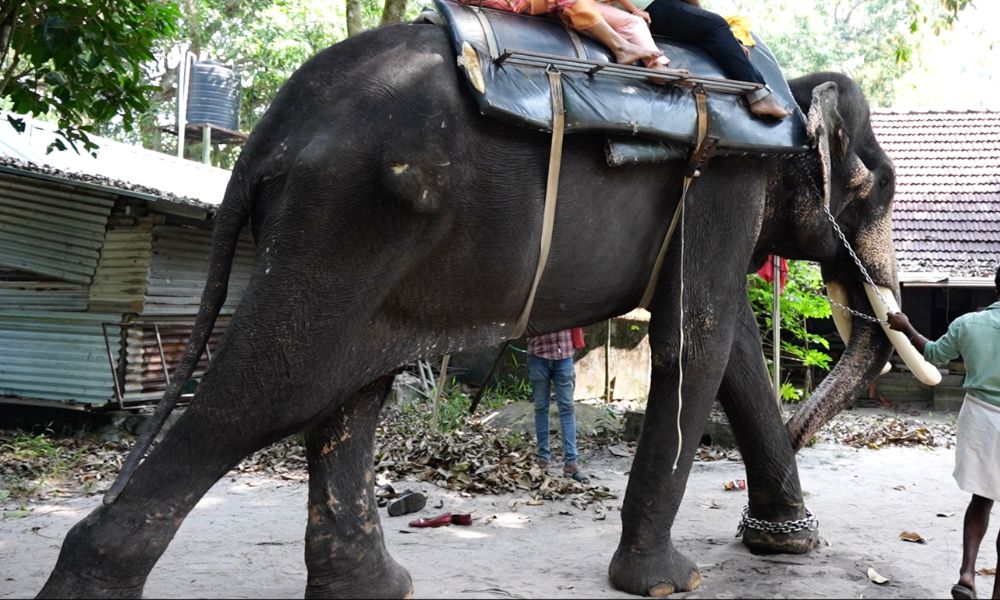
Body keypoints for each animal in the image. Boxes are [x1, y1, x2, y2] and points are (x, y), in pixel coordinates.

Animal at [35, 14, 932, 600]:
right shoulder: (725, 177)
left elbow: (730, 343)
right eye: (876, 188)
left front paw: (788, 546)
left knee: (350, 391)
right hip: (350, 214)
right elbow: (700, 342)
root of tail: (270, 129)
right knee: (279, 384)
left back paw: (377, 588)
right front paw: (672, 583)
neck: (788, 92)